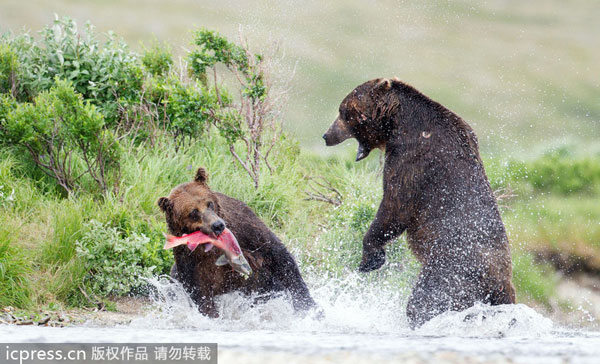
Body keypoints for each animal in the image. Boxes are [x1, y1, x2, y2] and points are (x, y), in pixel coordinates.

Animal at [158, 169, 318, 318]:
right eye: (193, 212)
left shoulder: (245, 230)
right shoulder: (190, 260)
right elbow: (200, 292)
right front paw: (212, 315)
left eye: (209, 204)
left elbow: (279, 258)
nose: (218, 225)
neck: (210, 245)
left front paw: (309, 307)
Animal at [324, 77, 516, 328]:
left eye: (344, 112)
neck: (397, 124)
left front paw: (370, 257)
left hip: (452, 270)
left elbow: (395, 207)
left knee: (424, 300)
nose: (326, 135)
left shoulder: (411, 160)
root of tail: (501, 283)